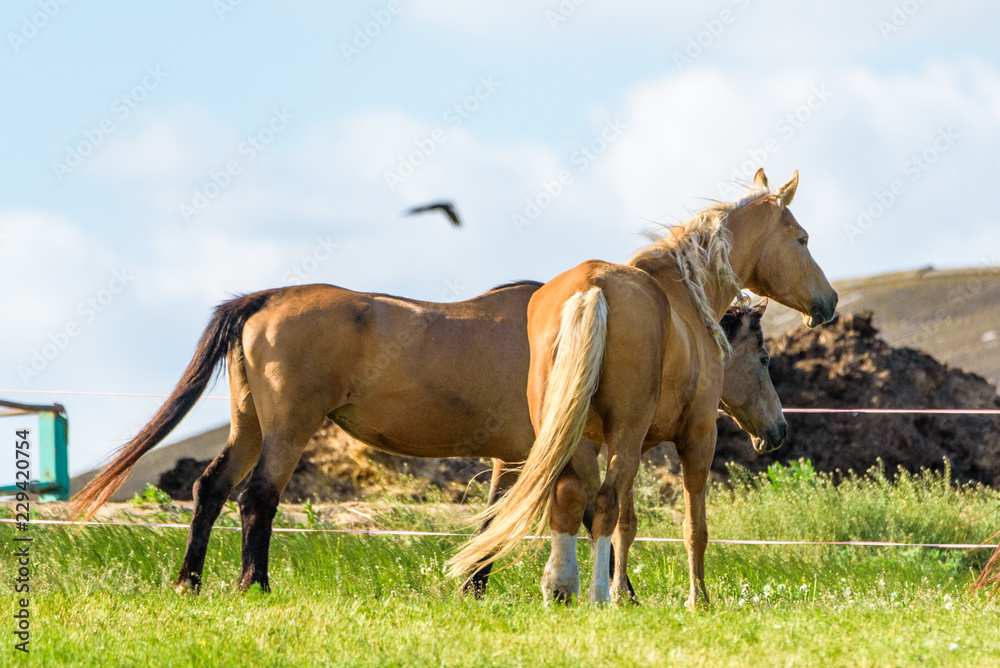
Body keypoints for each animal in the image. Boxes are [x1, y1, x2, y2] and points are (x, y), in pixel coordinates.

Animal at [69, 279, 782, 597]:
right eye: (764, 353)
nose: (776, 430)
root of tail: (266, 299)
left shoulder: (512, 456)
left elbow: (495, 518)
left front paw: (473, 585)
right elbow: (575, 514)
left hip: (250, 426)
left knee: (211, 489)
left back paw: (190, 582)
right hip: (288, 430)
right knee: (257, 500)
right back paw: (255, 585)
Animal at [448, 169, 838, 609]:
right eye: (802, 239)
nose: (830, 300)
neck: (688, 296)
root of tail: (591, 287)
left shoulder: (620, 444)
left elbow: (627, 525)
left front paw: (624, 595)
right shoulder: (698, 437)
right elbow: (693, 527)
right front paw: (696, 599)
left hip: (575, 433)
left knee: (568, 499)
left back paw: (561, 587)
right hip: (626, 433)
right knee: (603, 503)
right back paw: (598, 595)